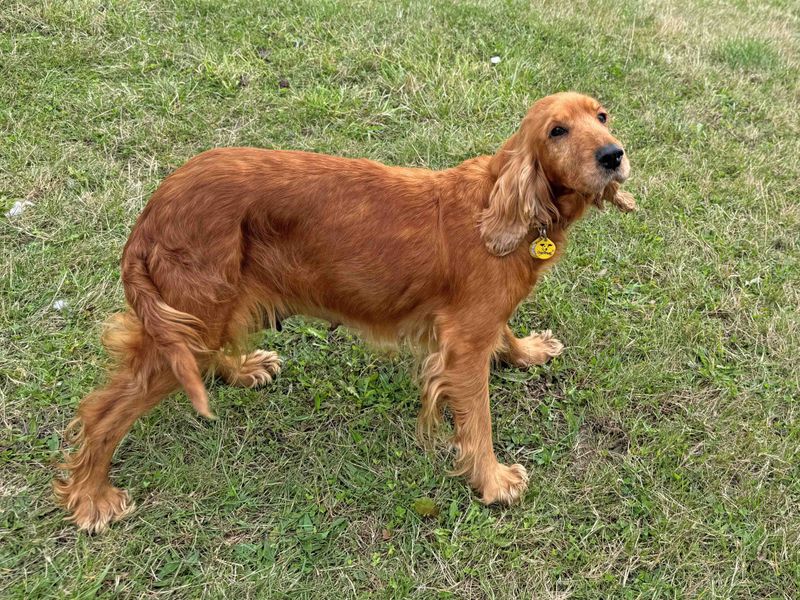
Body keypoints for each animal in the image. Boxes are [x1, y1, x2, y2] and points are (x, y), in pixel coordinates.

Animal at [53, 91, 636, 532]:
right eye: (557, 131)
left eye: (602, 116)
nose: (614, 155)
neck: (500, 204)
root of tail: (153, 211)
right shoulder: (464, 341)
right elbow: (479, 421)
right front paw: (492, 481)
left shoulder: (479, 321)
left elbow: (505, 334)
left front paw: (527, 351)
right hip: (192, 311)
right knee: (104, 412)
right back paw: (91, 496)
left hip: (212, 306)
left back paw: (241, 370)